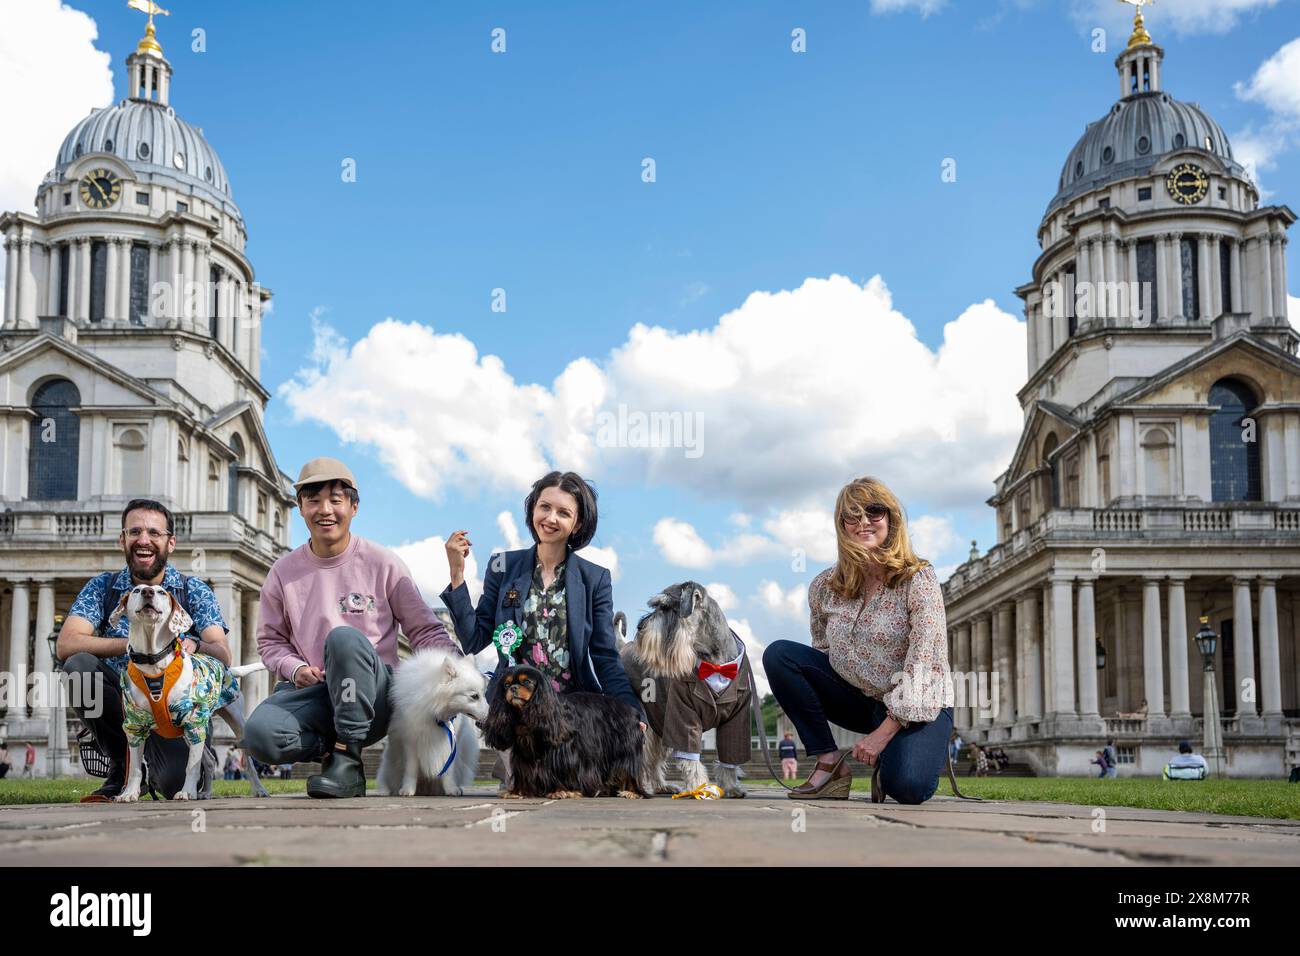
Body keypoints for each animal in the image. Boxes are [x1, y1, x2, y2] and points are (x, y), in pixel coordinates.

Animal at [110, 582, 267, 801]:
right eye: (136, 590)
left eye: (161, 592)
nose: (147, 592)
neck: (153, 663)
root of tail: (228, 669)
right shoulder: (135, 725)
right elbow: (134, 767)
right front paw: (129, 793)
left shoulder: (193, 720)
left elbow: (191, 766)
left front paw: (186, 792)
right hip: (188, 731)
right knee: (209, 760)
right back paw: (206, 792)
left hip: (233, 723)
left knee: (248, 762)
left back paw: (258, 789)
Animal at [379, 647, 491, 796]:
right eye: (474, 696)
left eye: (484, 694)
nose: (491, 715)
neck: (433, 710)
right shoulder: (410, 742)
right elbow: (411, 769)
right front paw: (408, 789)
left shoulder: (451, 744)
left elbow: (448, 771)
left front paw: (451, 789)